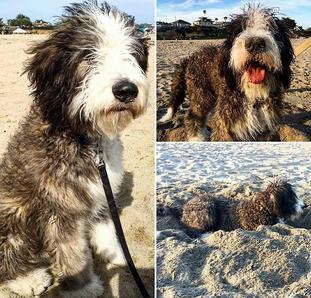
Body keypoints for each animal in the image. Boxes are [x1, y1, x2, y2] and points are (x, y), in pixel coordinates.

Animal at [0, 1, 150, 296]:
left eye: (130, 54)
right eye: (89, 56)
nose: (126, 90)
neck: (87, 140)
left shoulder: (101, 191)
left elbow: (106, 229)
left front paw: (117, 256)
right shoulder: (60, 210)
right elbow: (72, 253)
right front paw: (83, 286)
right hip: (12, 218)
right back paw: (27, 279)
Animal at [158, 180, 304, 236]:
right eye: (290, 198)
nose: (304, 206)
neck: (262, 207)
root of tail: (183, 209)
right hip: (207, 209)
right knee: (192, 231)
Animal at [161, 5, 294, 141]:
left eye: (270, 28)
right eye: (240, 30)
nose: (255, 43)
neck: (253, 97)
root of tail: (189, 58)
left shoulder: (264, 128)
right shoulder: (226, 123)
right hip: (201, 94)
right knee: (192, 115)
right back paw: (197, 138)